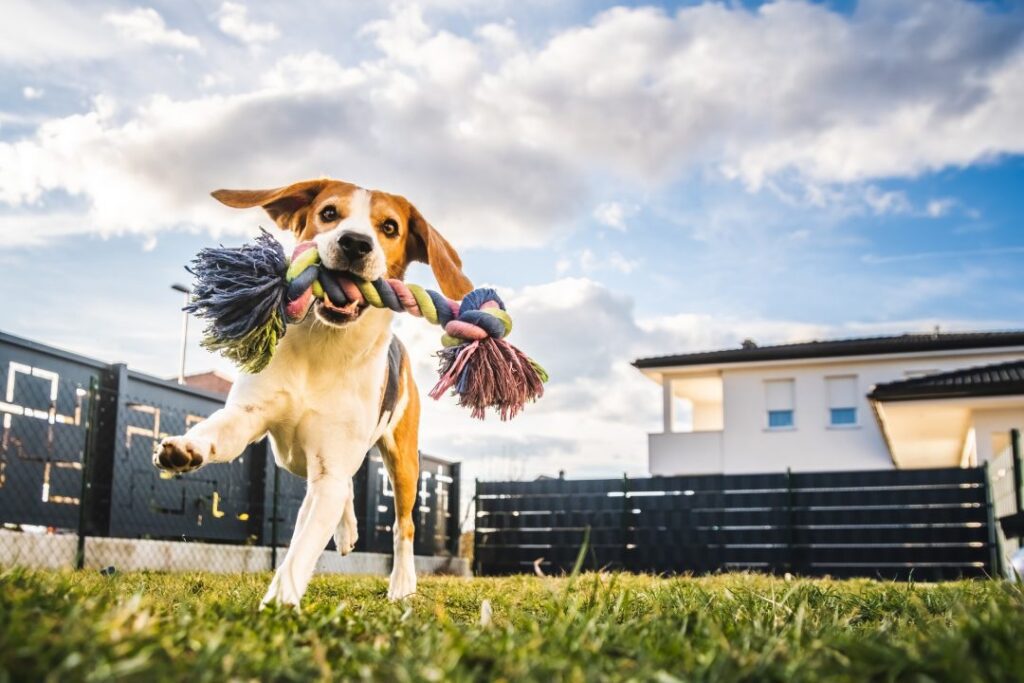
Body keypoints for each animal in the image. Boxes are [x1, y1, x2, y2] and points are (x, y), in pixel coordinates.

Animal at [153, 178, 473, 602]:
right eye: (329, 213)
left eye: (389, 227)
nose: (355, 243)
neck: (324, 346)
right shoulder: (249, 417)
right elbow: (219, 432)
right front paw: (187, 448)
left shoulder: (331, 469)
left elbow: (300, 554)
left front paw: (278, 603)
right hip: (299, 460)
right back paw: (348, 530)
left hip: (403, 460)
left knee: (402, 524)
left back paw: (403, 583)